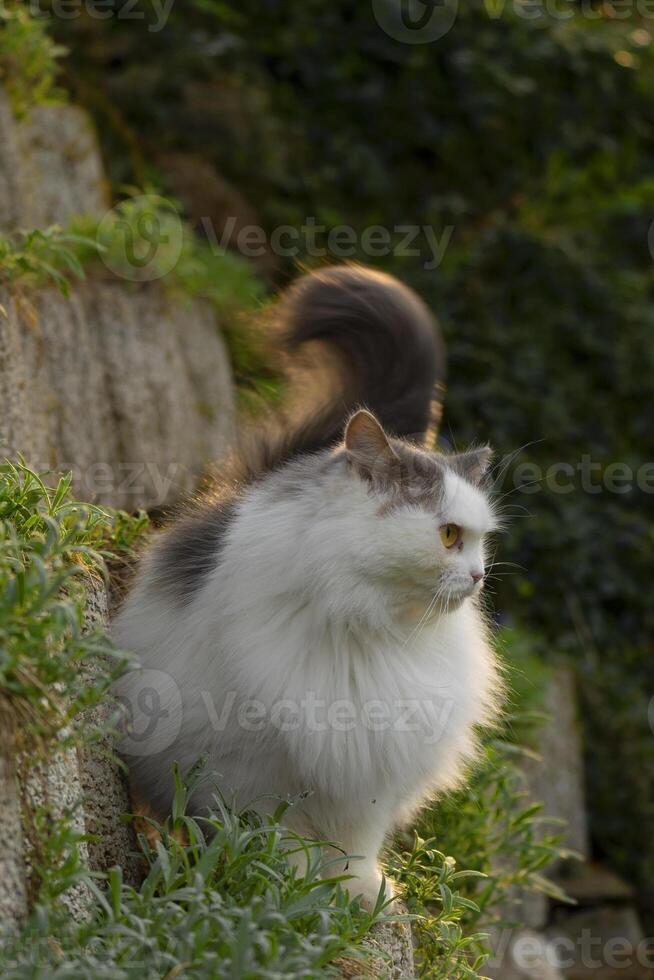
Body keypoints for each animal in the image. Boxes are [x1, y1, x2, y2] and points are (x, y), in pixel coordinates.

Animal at [114, 264, 502, 908]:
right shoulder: (250, 759)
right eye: (449, 535)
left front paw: (359, 891)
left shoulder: (373, 763)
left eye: (480, 542)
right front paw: (288, 883)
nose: (477, 576)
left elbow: (356, 841)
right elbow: (275, 833)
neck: (368, 628)